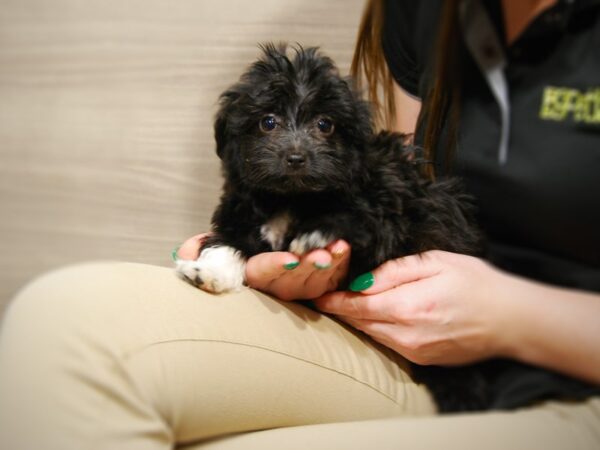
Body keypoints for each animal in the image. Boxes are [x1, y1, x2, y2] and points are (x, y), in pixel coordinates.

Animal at [177, 44, 488, 412]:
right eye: (268, 122)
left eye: (325, 124)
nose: (296, 157)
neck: (291, 197)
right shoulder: (237, 218)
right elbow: (224, 244)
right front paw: (208, 272)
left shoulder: (386, 214)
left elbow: (357, 218)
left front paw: (317, 232)